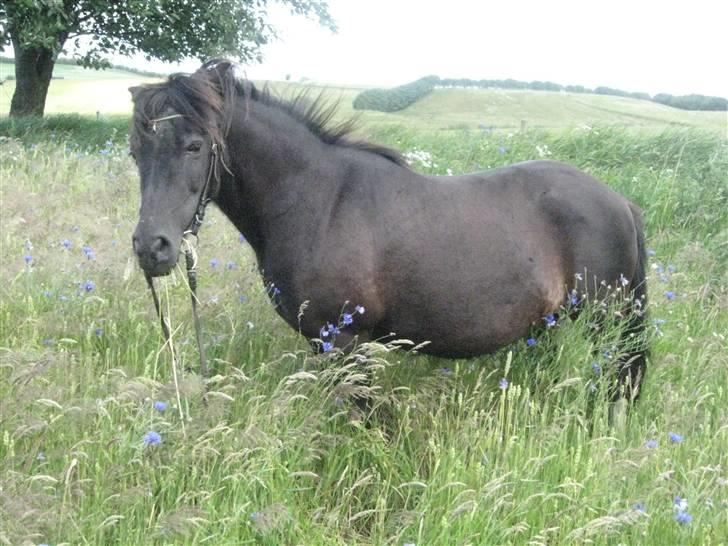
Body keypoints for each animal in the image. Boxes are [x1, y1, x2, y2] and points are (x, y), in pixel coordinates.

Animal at [129, 58, 648, 400]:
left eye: (195, 145)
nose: (151, 248)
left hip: (608, 322)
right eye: (136, 151)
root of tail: (619, 201)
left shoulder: (344, 341)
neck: (318, 201)